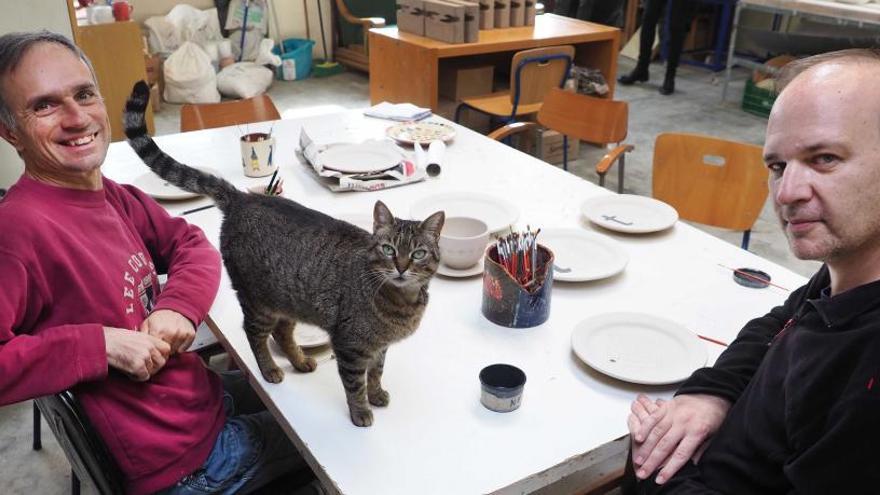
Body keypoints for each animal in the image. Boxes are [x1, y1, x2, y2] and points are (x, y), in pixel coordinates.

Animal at [124, 81, 446, 426]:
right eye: (388, 249)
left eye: (418, 254)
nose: (401, 267)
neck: (401, 302)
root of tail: (242, 198)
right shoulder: (350, 345)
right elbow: (355, 384)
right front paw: (361, 411)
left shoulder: (379, 347)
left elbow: (376, 373)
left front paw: (377, 394)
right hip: (258, 301)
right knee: (255, 334)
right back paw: (270, 370)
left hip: (288, 299)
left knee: (282, 333)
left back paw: (301, 361)